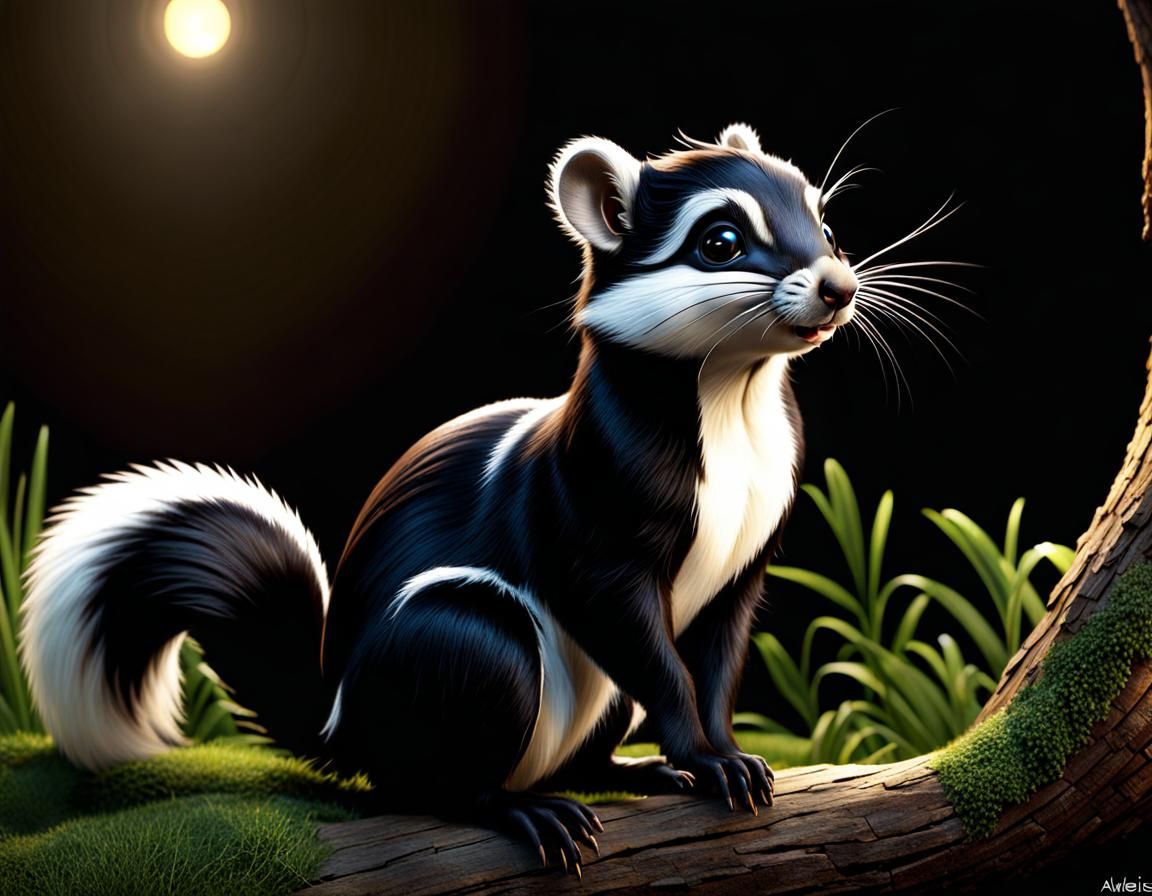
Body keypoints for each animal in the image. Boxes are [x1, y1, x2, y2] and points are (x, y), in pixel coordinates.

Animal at [20, 123, 859, 876]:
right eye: (720, 242)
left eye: (824, 225)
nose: (838, 287)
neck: (731, 411)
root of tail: (339, 724)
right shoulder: (592, 529)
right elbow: (648, 648)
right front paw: (703, 757)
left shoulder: (744, 563)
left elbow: (717, 661)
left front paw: (724, 757)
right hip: (465, 642)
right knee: (440, 781)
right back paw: (525, 809)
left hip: (587, 697)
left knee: (580, 754)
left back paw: (635, 772)